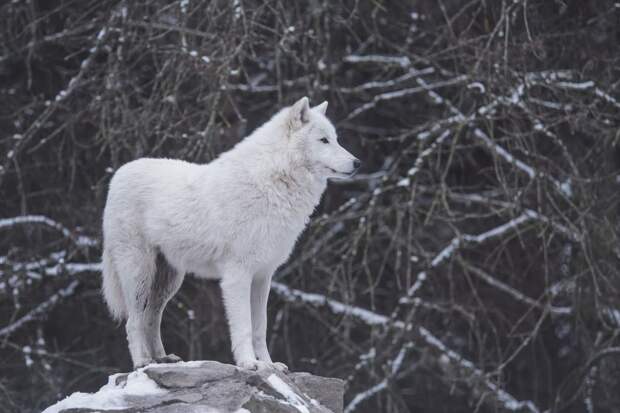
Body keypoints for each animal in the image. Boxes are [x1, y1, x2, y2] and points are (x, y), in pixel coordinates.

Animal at [103, 97, 358, 370]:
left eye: (336, 139)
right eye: (324, 140)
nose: (358, 163)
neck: (272, 183)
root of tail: (119, 173)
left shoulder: (263, 276)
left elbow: (260, 328)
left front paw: (270, 365)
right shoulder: (238, 275)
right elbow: (244, 327)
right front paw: (249, 363)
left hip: (169, 281)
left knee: (152, 317)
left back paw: (162, 359)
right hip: (139, 274)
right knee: (133, 321)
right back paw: (142, 362)